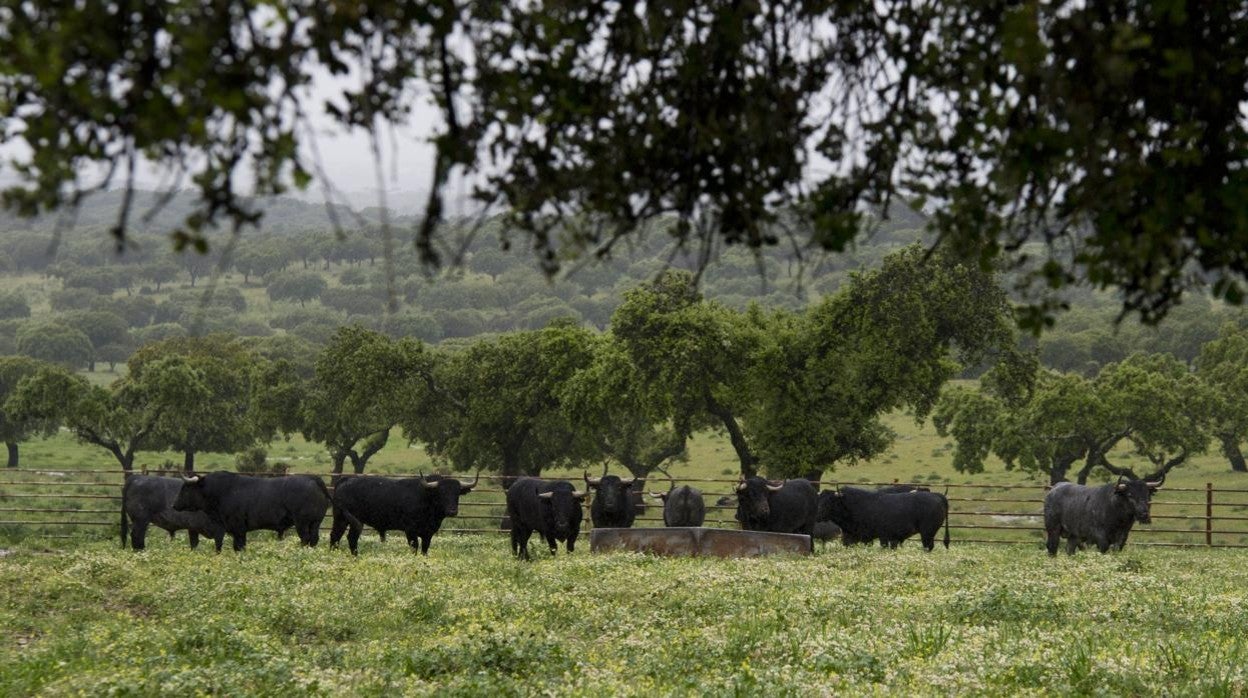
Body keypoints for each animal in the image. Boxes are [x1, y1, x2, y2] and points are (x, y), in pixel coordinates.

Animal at [175, 474, 334, 551]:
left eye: (186, 489)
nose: (174, 505)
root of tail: (312, 478)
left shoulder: (238, 528)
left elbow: (238, 546)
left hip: (302, 523)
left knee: (305, 538)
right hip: (315, 523)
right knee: (314, 539)